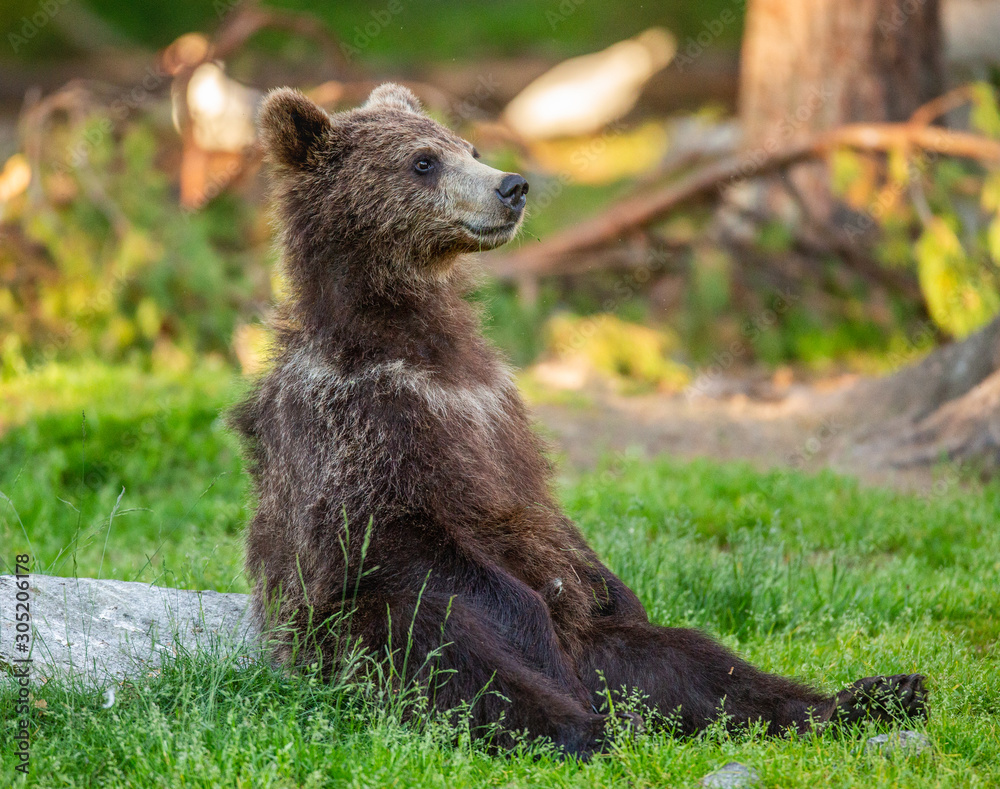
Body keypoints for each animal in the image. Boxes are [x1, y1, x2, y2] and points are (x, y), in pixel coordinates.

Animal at [229, 83, 927, 758]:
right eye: (423, 161)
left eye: (469, 148)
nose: (512, 186)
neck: (414, 338)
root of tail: (591, 682)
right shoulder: (361, 419)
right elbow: (394, 534)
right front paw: (527, 622)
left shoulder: (493, 408)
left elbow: (551, 521)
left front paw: (618, 591)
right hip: (340, 636)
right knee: (444, 649)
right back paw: (590, 730)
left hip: (611, 653)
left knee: (695, 662)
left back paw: (872, 696)